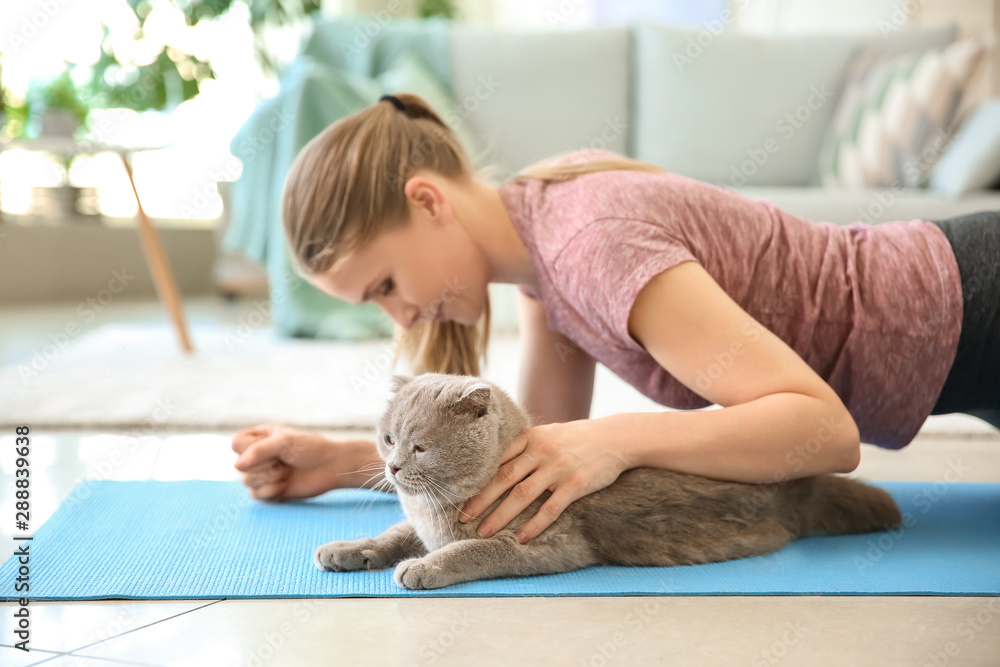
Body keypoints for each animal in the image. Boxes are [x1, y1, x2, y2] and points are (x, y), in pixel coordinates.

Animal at [312, 376, 900, 588]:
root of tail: (803, 485)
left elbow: (472, 551)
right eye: (388, 438)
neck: (437, 513)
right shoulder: (417, 524)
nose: (392, 467)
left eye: (421, 447)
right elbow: (393, 534)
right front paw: (346, 550)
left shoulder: (547, 542)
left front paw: (422, 568)